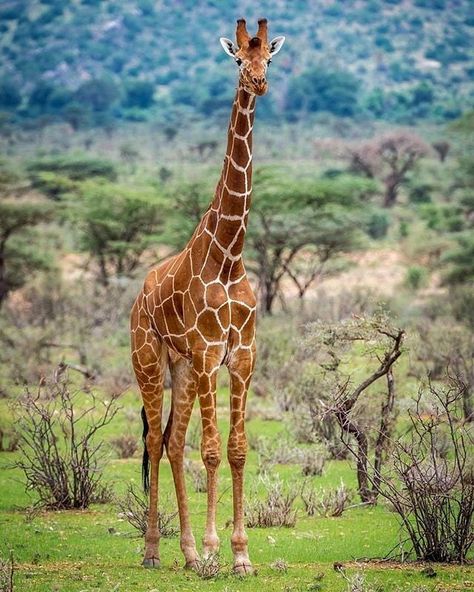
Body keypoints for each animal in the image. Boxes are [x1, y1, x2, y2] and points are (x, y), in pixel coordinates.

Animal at [130, 17, 286, 572]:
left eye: (270, 58)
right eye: (238, 59)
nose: (259, 83)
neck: (230, 254)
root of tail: (137, 298)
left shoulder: (241, 355)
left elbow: (237, 449)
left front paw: (239, 555)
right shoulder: (206, 352)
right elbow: (214, 450)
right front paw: (221, 549)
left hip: (181, 369)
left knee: (173, 443)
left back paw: (189, 552)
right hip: (151, 360)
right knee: (155, 441)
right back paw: (155, 551)